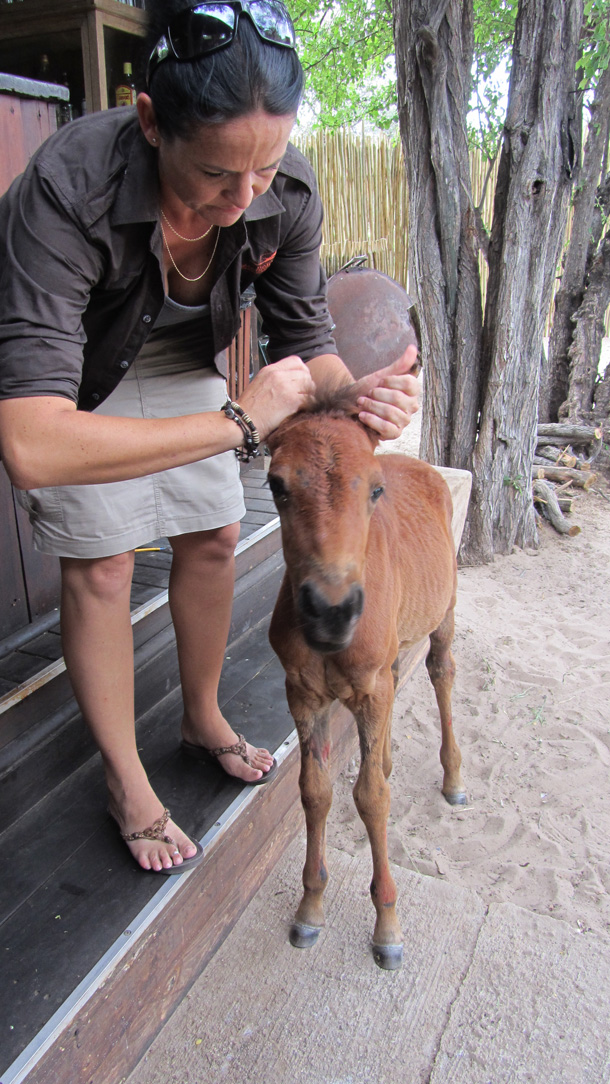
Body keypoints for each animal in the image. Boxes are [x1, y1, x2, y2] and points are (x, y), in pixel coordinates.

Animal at [267, 387, 466, 971]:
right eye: (276, 485)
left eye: (374, 488)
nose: (331, 612)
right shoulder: (303, 693)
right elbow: (316, 792)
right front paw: (310, 910)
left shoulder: (369, 689)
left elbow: (372, 799)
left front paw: (387, 926)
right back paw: (390, 756)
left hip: (445, 609)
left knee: (441, 672)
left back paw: (453, 778)